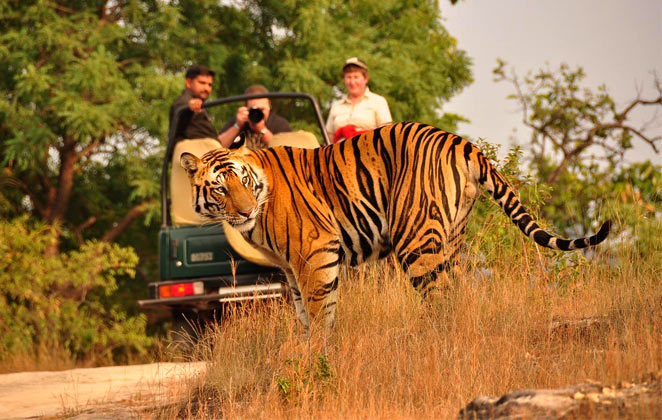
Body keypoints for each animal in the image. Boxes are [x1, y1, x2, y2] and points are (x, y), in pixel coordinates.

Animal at [180, 122, 612, 334]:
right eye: (220, 188)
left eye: (242, 181)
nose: (245, 210)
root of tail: (462, 142)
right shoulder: (290, 268)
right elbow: (304, 314)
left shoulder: (315, 254)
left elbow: (320, 314)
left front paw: (318, 358)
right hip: (452, 239)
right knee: (458, 294)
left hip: (416, 240)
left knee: (439, 299)